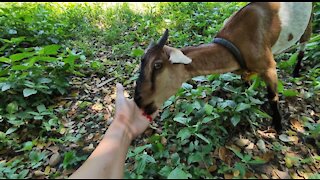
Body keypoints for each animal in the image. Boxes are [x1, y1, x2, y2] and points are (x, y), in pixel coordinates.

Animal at [134, 2, 314, 132]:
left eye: (157, 65)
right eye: (142, 61)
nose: (138, 100)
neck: (236, 43)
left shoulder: (269, 67)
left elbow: (273, 96)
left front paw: (278, 126)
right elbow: (246, 80)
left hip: (309, 22)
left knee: (303, 46)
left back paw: (296, 71)